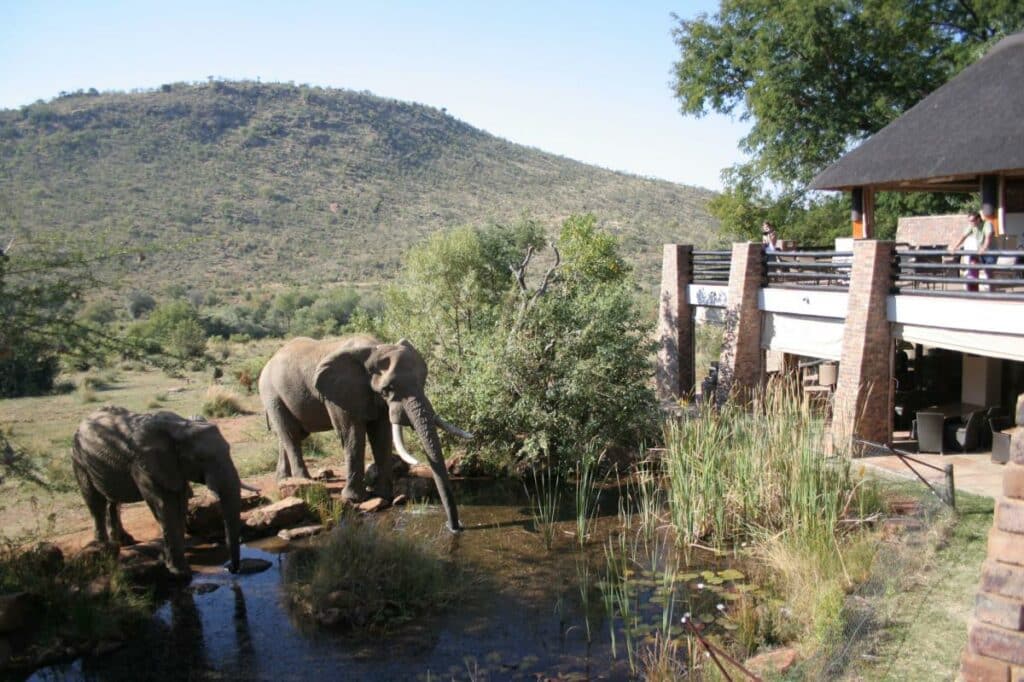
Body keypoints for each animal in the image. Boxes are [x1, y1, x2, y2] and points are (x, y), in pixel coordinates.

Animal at [71, 406, 244, 578]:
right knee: (95, 502)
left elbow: (180, 503)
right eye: (200, 459)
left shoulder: (174, 467)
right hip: (79, 459)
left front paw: (171, 562)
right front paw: (180, 572)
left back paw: (123, 542)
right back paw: (104, 549)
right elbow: (164, 505)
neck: (181, 427)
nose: (230, 569)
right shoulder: (144, 464)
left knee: (113, 502)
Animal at [258, 335, 470, 532]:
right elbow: (352, 434)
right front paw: (355, 498)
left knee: (289, 436)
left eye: (423, 381)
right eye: (388, 389)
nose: (455, 527)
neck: (374, 348)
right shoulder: (341, 394)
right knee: (291, 435)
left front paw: (384, 495)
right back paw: (304, 482)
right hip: (271, 393)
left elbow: (382, 435)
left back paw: (283, 480)